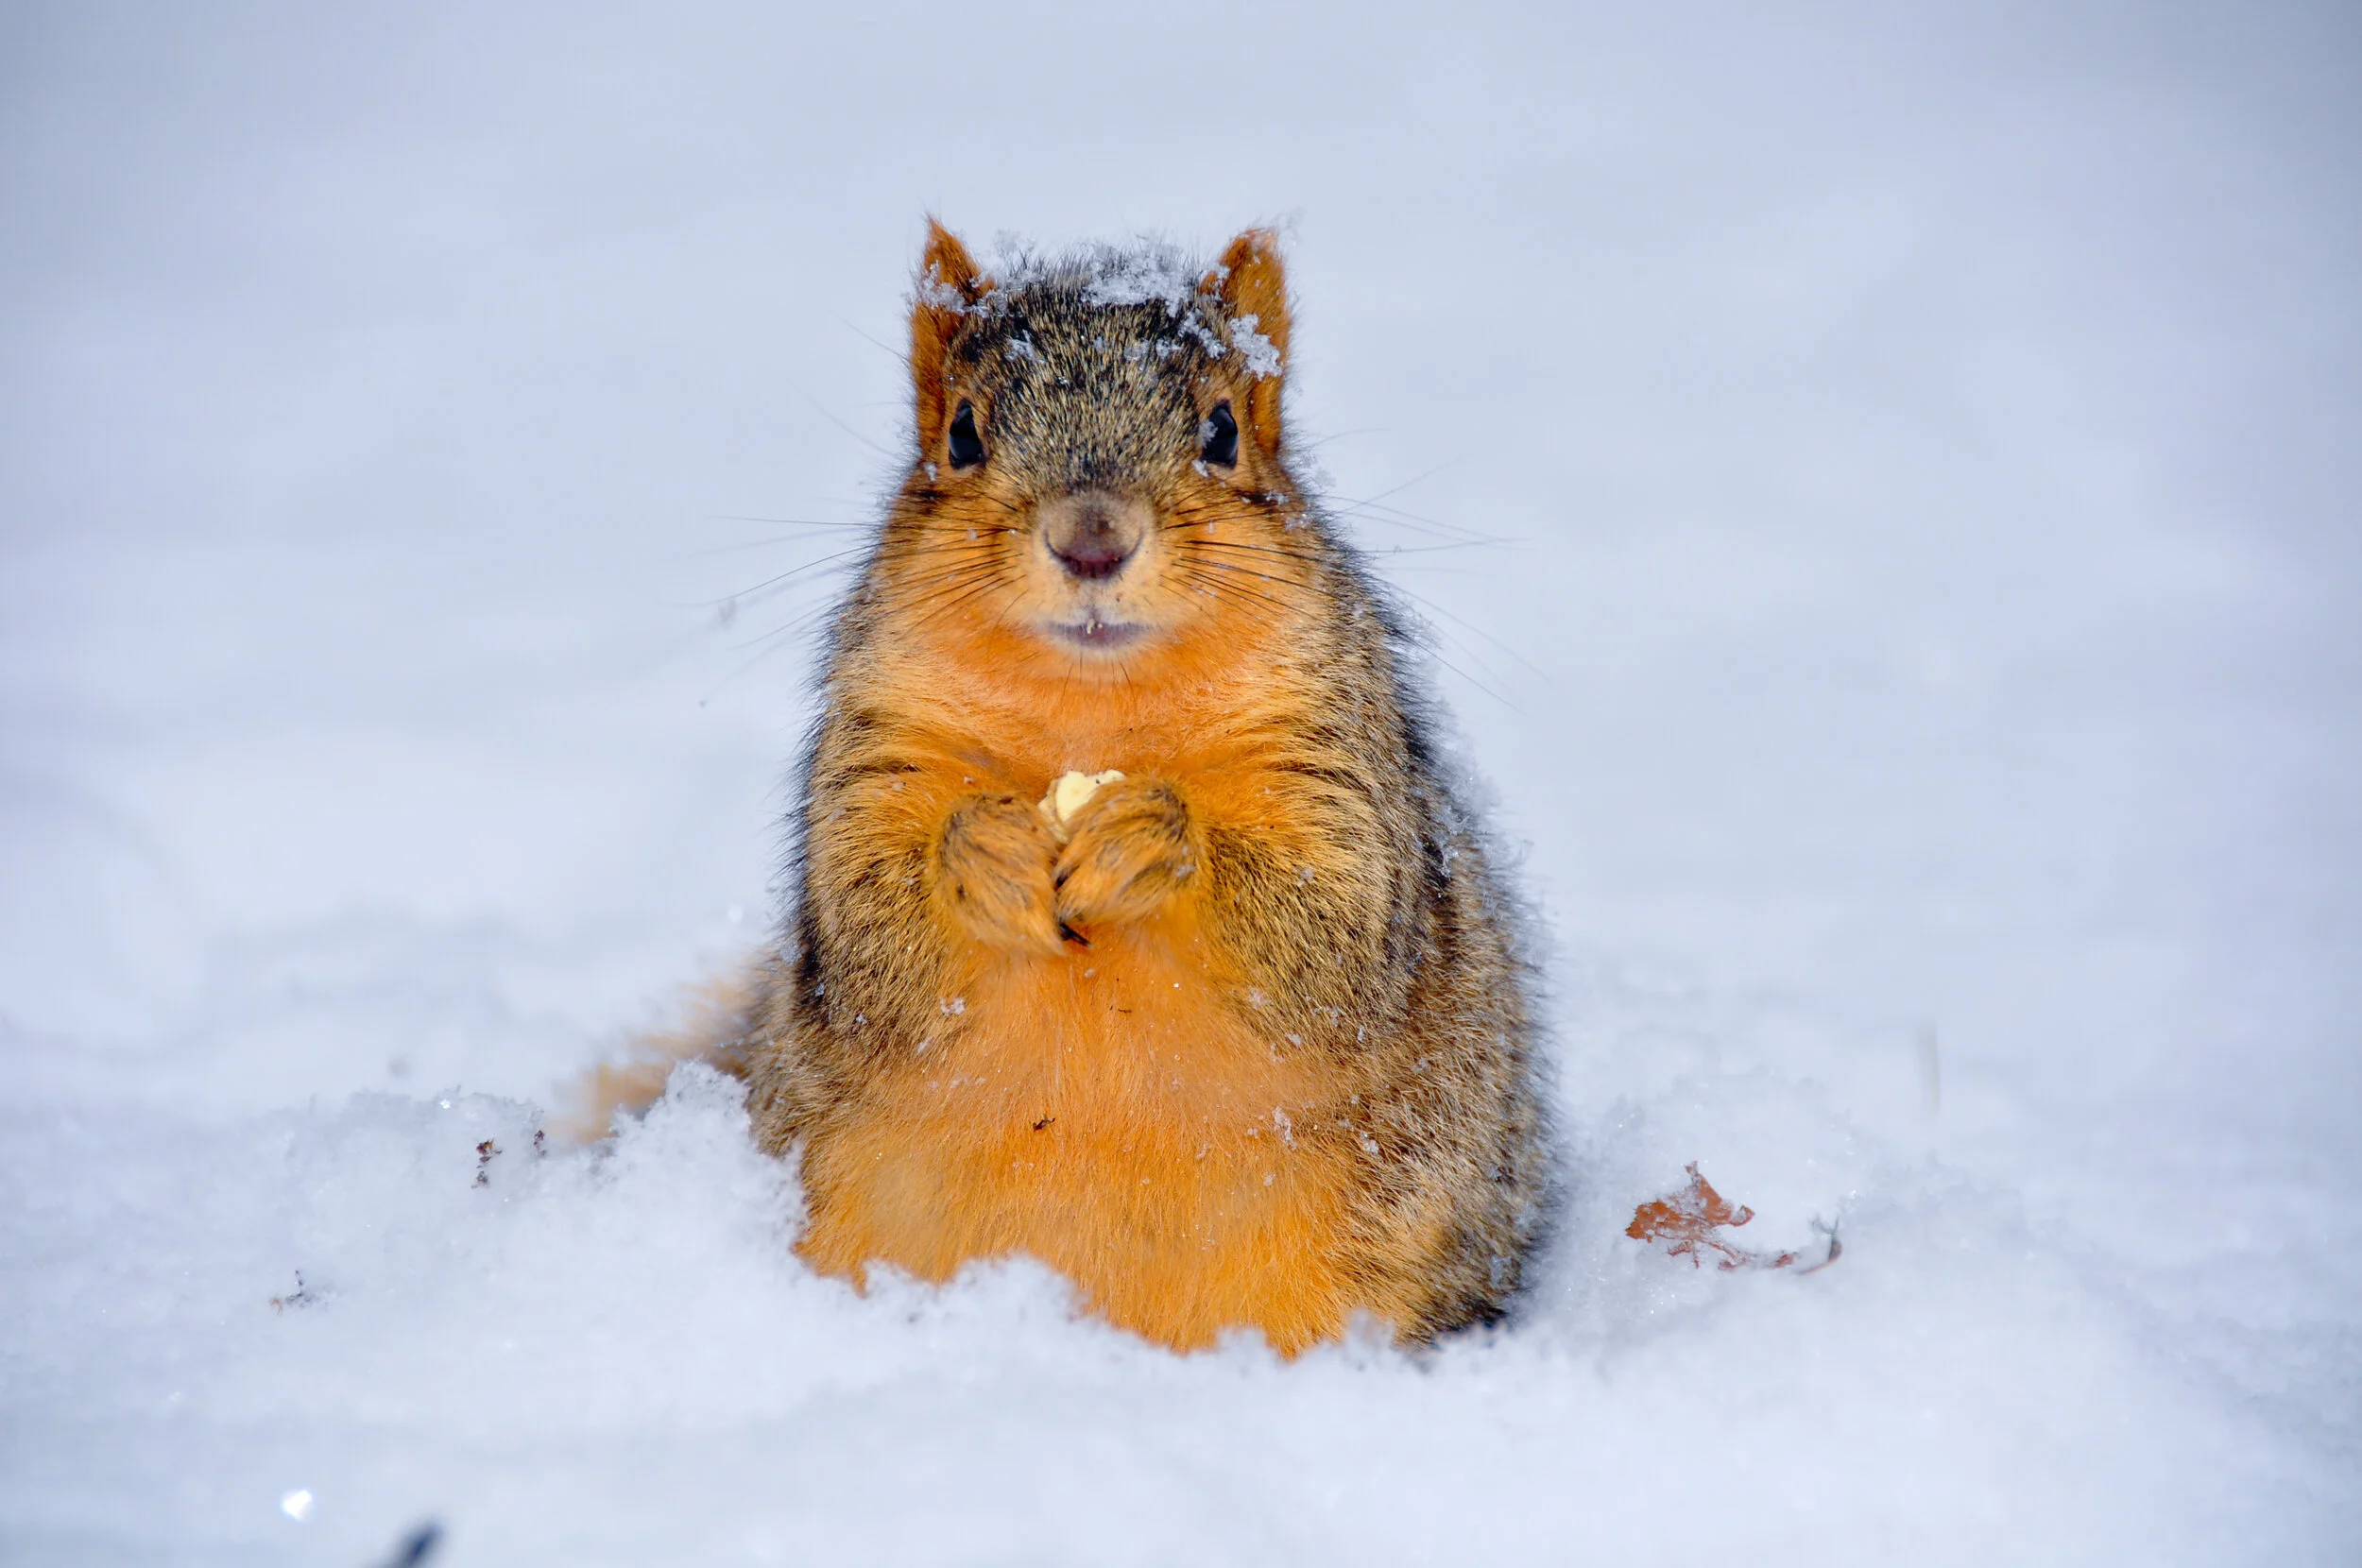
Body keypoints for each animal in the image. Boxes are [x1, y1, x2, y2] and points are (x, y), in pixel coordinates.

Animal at [570, 223, 1547, 1356]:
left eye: (1223, 431)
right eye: (960, 433)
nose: (1091, 540)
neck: (1093, 709)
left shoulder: (1337, 771)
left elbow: (1332, 938)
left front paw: (1152, 843)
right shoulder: (875, 761)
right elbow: (872, 946)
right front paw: (982, 856)